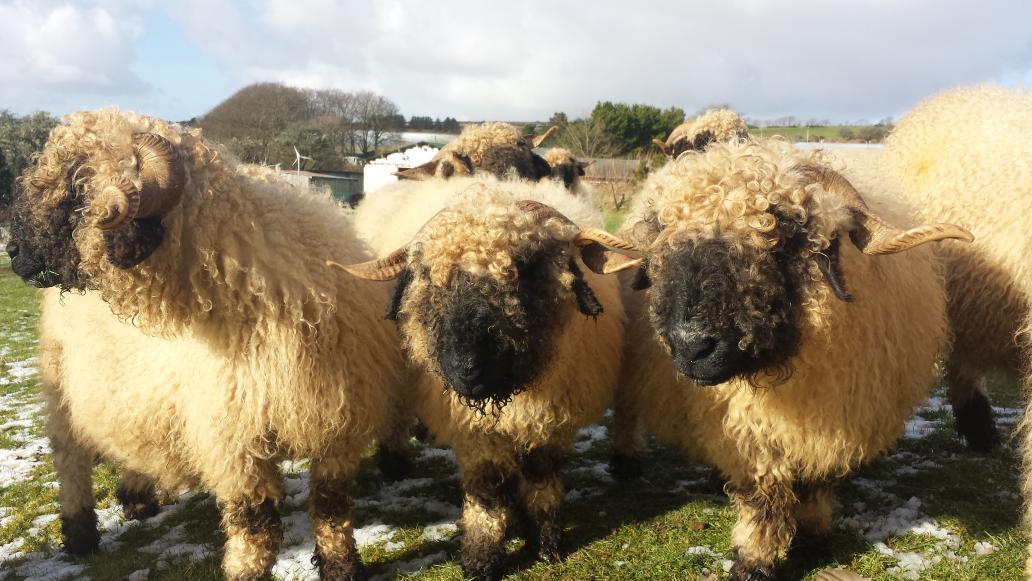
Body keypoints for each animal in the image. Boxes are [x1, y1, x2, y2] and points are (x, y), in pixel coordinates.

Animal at [5, 109, 405, 580]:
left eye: (74, 186)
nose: (13, 252)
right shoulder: (233, 442)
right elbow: (255, 524)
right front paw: (246, 571)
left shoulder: (337, 427)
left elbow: (332, 510)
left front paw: (342, 568)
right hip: (61, 391)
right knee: (71, 463)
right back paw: (80, 536)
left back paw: (137, 501)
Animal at [336, 175, 630, 580]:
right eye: (429, 274)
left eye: (526, 266)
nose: (465, 369)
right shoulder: (474, 430)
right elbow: (487, 490)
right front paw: (481, 557)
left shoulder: (550, 420)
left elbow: (540, 475)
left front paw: (546, 542)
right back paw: (396, 462)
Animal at [605, 138, 971, 579]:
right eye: (663, 238)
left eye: (783, 233)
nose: (691, 348)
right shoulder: (749, 432)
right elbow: (763, 497)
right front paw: (752, 560)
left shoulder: (833, 426)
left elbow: (815, 485)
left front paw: (813, 540)